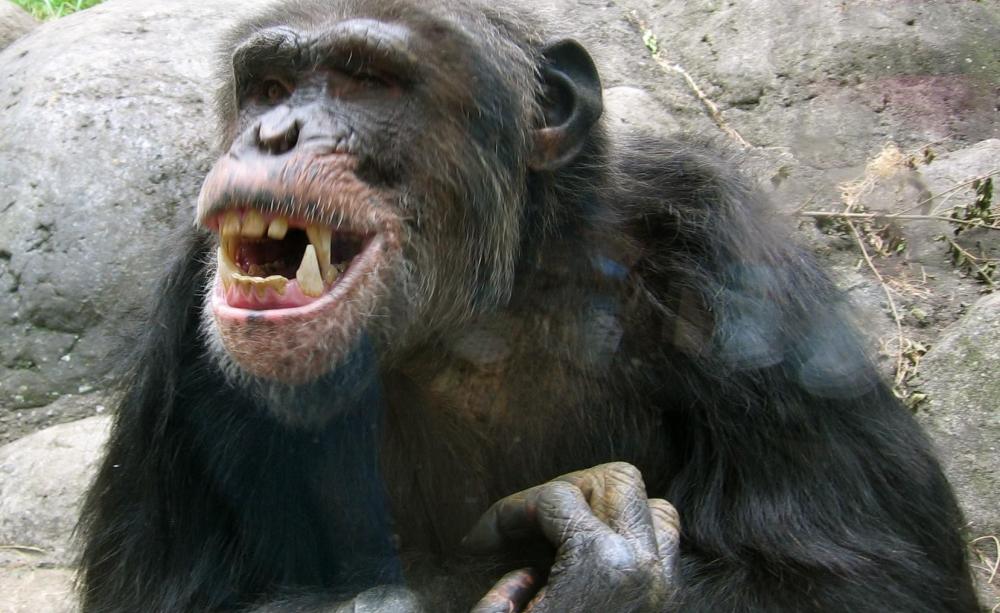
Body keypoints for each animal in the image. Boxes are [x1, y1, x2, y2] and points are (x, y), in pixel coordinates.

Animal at [77, 0, 979, 611]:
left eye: (367, 81)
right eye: (267, 86)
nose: (273, 133)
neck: (470, 324)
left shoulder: (734, 255)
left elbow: (861, 575)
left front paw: (594, 562)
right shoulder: (184, 335)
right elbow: (163, 594)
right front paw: (584, 565)